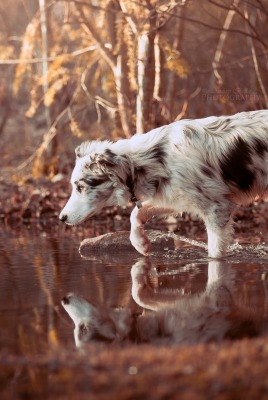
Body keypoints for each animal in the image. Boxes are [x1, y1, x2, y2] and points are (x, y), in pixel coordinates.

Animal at [59, 111, 268, 258]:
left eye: (81, 187)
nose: (61, 217)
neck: (153, 160)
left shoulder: (217, 208)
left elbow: (214, 255)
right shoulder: (174, 196)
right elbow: (136, 213)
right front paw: (140, 243)